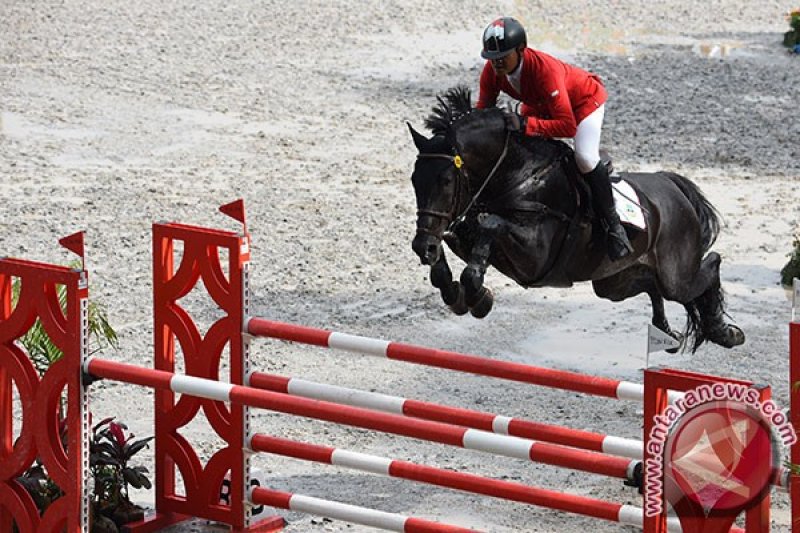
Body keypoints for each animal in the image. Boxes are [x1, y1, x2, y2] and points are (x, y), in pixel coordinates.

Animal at [410, 86, 748, 354]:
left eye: (445, 182)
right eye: (414, 180)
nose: (420, 247)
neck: (520, 176)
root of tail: (672, 185)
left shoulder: (535, 256)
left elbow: (489, 225)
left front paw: (478, 294)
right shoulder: (466, 235)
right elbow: (454, 239)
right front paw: (457, 292)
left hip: (675, 274)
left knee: (709, 266)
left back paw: (726, 333)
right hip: (613, 283)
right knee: (652, 286)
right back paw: (666, 331)